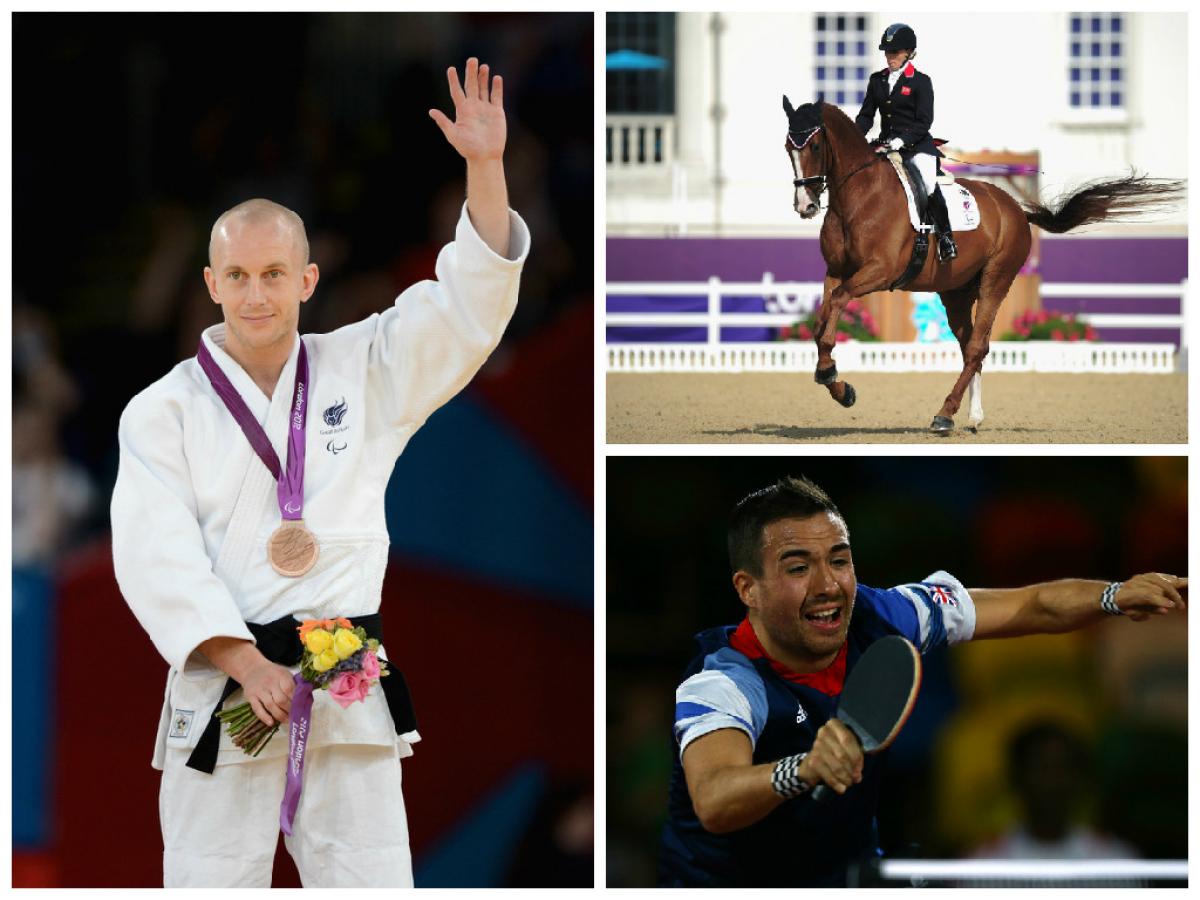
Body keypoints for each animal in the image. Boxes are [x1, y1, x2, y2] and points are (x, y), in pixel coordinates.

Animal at [777, 97, 1180, 434]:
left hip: (995, 281)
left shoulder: (878, 272)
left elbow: (836, 307)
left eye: (814, 145)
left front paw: (831, 376)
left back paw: (945, 414)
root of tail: (1016, 210)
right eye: (787, 148)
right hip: (955, 292)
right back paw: (971, 416)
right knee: (969, 346)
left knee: (977, 348)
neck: (858, 196)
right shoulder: (836, 272)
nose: (805, 206)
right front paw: (838, 386)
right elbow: (822, 322)